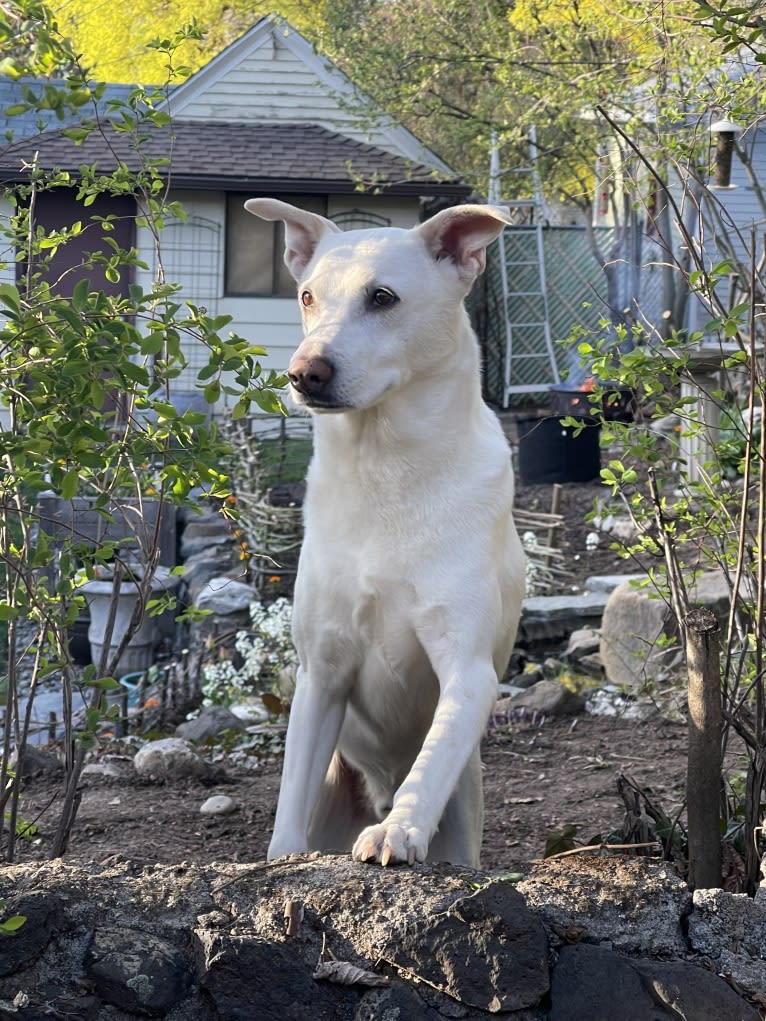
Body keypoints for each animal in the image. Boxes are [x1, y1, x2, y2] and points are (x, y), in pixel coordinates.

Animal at [246, 195, 527, 865]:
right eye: (307, 297)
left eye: (382, 297)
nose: (304, 373)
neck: (385, 472)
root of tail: (377, 786)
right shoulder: (321, 675)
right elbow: (289, 795)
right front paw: (282, 857)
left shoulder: (468, 671)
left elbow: (433, 756)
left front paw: (399, 829)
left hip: (465, 810)